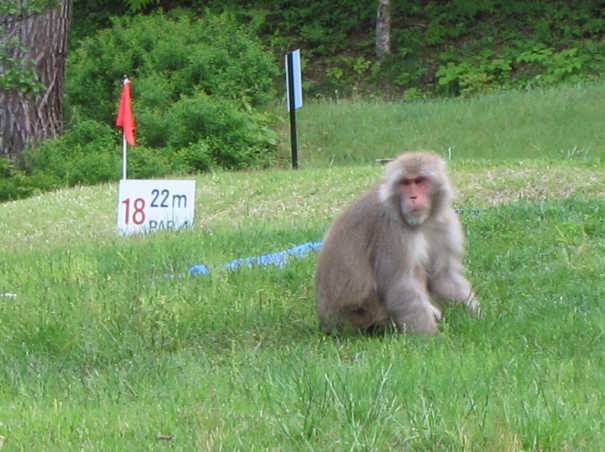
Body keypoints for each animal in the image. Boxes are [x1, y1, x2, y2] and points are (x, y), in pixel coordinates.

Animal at [314, 152, 478, 336]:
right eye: (405, 183)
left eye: (419, 181)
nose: (413, 197)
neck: (422, 222)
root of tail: (327, 325)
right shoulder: (391, 228)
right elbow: (401, 284)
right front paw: (431, 337)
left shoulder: (445, 222)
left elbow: (442, 275)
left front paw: (477, 316)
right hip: (358, 316)